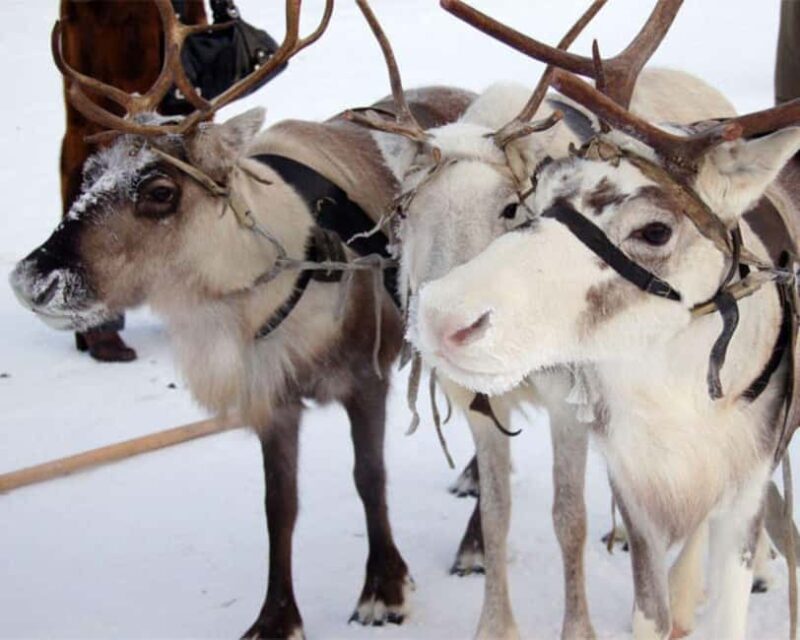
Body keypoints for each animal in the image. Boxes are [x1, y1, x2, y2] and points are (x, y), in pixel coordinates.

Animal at [8, 1, 477, 637]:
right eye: (89, 172)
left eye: (160, 189)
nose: (33, 277)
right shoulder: (270, 398)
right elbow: (278, 505)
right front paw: (276, 617)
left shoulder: (366, 376)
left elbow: (369, 478)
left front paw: (384, 587)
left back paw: (476, 543)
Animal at [347, 0, 780, 638]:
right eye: (407, 213)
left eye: (511, 208)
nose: (436, 324)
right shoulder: (481, 406)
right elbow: (497, 512)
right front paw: (494, 623)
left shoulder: (572, 403)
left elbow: (568, 517)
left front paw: (578, 626)